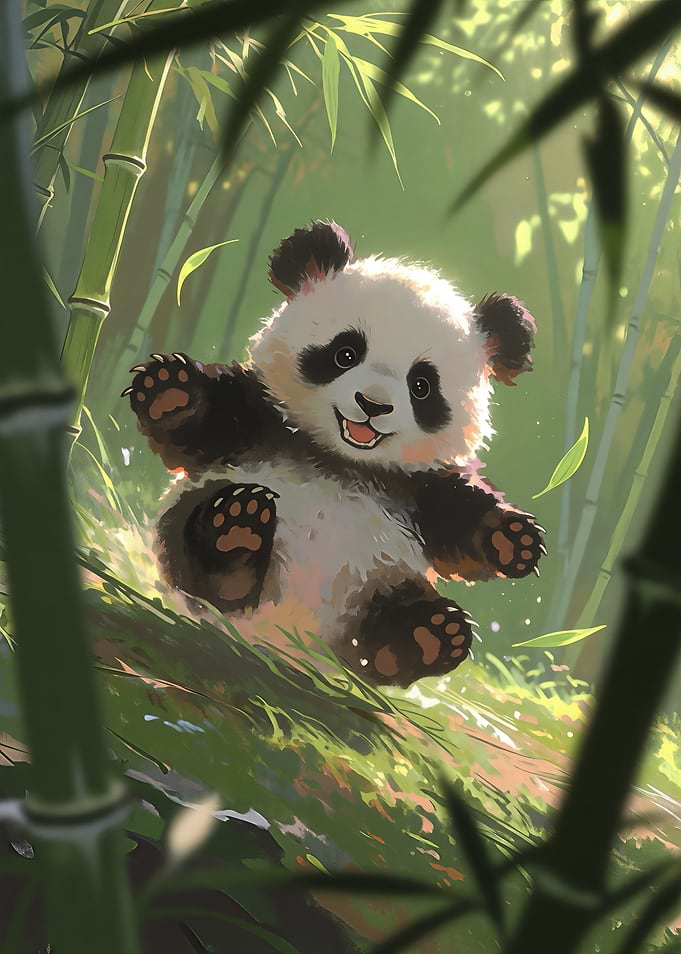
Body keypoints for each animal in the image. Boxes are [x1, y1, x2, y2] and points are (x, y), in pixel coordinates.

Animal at [123, 221, 545, 688]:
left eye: (422, 385)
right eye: (345, 354)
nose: (373, 404)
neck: (342, 460)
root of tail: (282, 641)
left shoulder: (416, 486)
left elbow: (460, 519)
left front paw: (514, 539)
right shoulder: (262, 419)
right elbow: (203, 426)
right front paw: (170, 391)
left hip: (377, 582)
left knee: (385, 636)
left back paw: (428, 634)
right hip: (196, 515)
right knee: (196, 548)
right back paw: (236, 533)